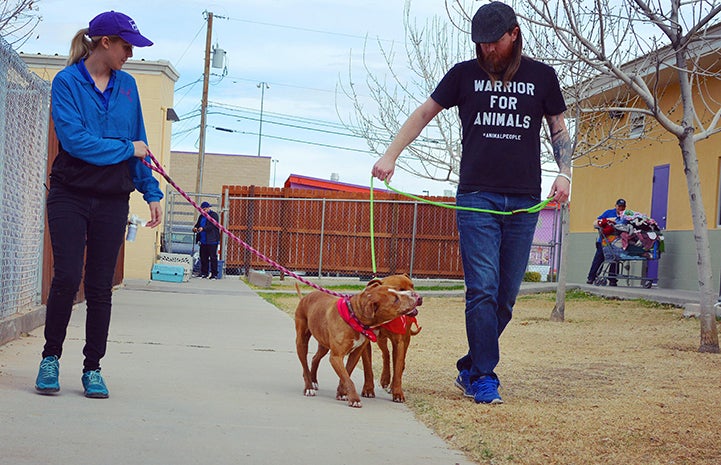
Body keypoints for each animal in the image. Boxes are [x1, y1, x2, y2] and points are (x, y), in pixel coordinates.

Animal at [292, 280, 420, 406]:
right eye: (396, 299)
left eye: (396, 289)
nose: (416, 295)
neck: (354, 317)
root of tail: (305, 297)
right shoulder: (336, 357)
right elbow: (348, 379)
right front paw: (354, 399)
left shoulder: (355, 354)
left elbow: (346, 374)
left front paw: (341, 393)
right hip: (301, 342)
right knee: (304, 365)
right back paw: (309, 387)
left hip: (323, 344)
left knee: (315, 358)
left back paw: (314, 381)